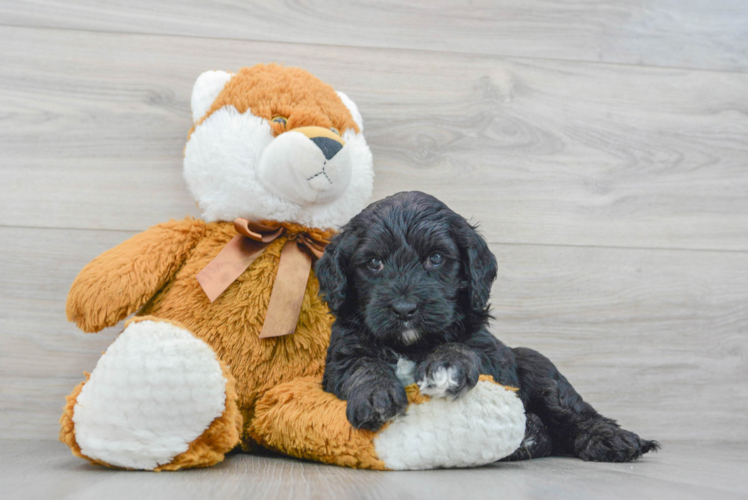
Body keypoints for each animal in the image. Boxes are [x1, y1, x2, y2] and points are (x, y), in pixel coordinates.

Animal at [318, 190, 656, 460]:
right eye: (374, 263)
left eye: (436, 258)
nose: (404, 310)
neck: (411, 346)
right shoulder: (342, 354)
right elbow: (361, 364)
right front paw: (376, 396)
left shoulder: (491, 358)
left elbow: (463, 348)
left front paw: (446, 365)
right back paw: (531, 435)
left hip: (537, 365)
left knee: (574, 412)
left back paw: (610, 439)